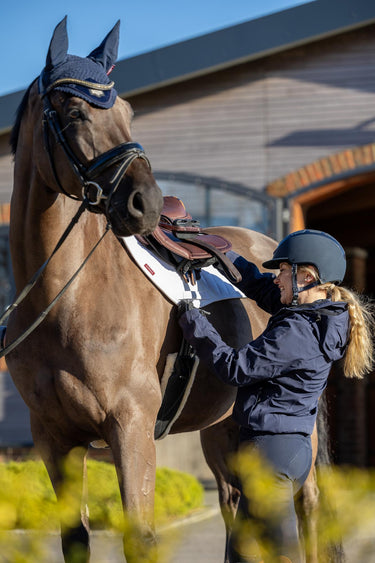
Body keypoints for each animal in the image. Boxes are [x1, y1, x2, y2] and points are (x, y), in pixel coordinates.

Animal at [5, 15, 326, 563]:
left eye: (128, 112)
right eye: (74, 111)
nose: (147, 203)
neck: (66, 301)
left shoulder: (131, 430)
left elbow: (142, 538)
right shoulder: (54, 439)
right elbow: (75, 539)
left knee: (304, 507)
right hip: (224, 427)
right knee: (236, 507)